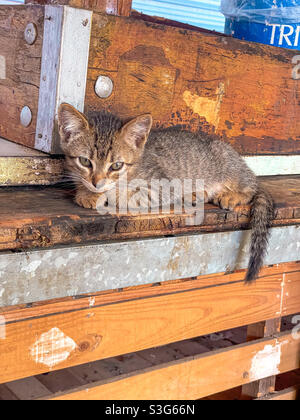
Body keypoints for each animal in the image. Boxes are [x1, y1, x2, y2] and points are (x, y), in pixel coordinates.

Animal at [57, 103, 274, 284]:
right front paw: (85, 190)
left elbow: (122, 194)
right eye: (85, 161)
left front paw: (98, 194)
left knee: (251, 187)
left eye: (116, 165)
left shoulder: (162, 186)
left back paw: (232, 195)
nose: (97, 182)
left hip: (230, 169)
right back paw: (195, 194)